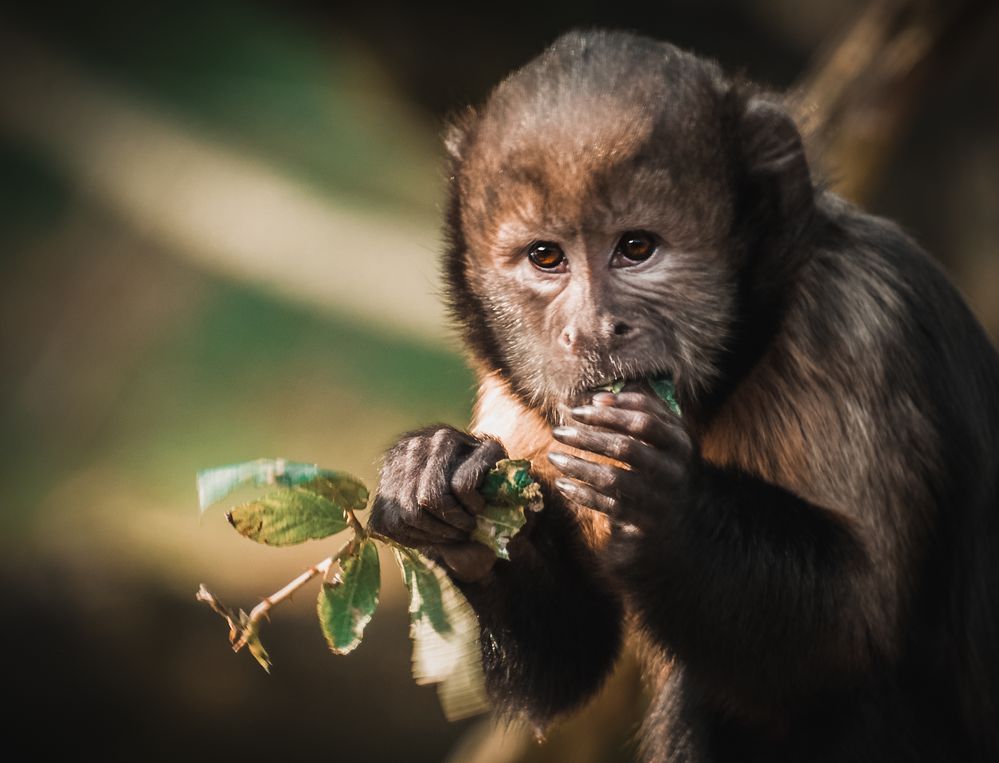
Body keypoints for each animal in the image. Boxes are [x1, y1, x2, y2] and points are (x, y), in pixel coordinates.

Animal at [370, 28, 999, 760]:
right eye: (546, 257)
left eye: (636, 247)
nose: (592, 329)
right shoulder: (514, 390)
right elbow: (567, 663)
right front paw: (440, 483)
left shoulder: (860, 325)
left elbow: (857, 632)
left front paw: (659, 499)